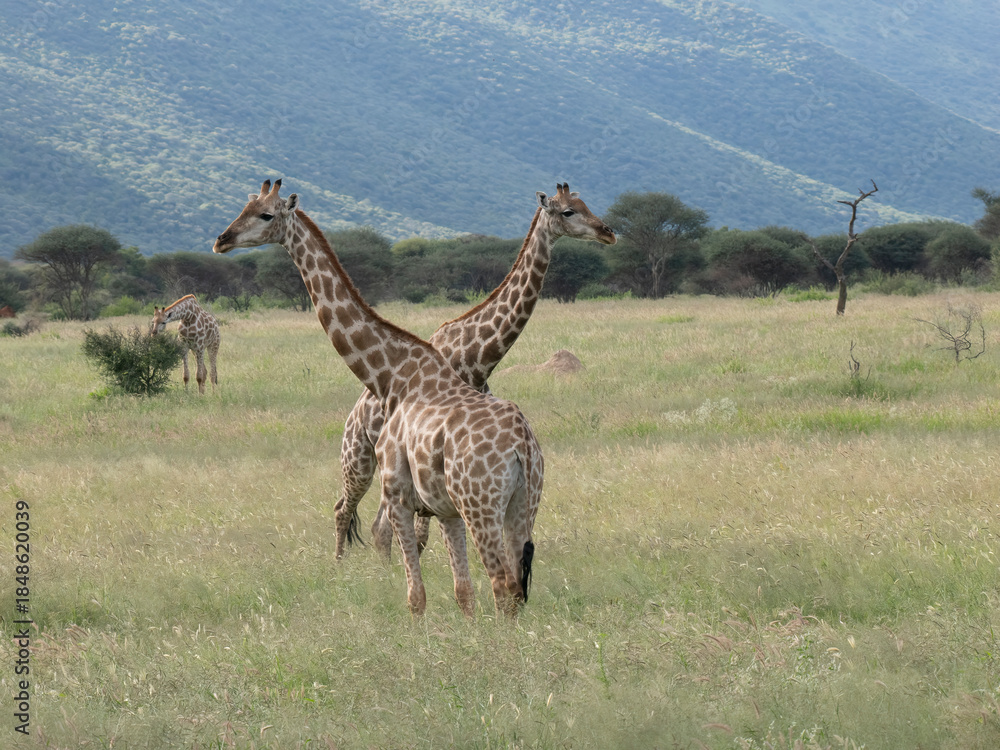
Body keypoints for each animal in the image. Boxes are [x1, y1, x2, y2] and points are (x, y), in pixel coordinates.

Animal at [214, 179, 544, 618]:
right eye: (243, 207)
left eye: (266, 215)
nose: (222, 240)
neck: (391, 377)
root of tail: (522, 445)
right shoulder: (444, 509)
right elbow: (462, 592)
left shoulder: (399, 495)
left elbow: (416, 597)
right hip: (522, 504)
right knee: (515, 587)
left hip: (480, 504)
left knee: (503, 586)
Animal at [338, 184, 616, 561]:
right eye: (568, 211)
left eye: (584, 203)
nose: (608, 232)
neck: (477, 357)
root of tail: (353, 415)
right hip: (359, 458)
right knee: (344, 509)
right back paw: (340, 566)